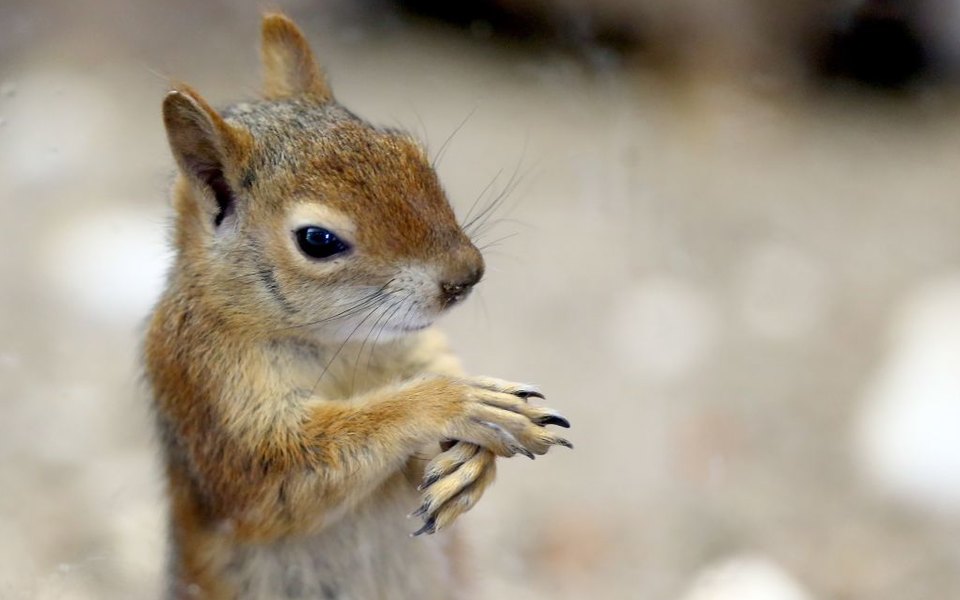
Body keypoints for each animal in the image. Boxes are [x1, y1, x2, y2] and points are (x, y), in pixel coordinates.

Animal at [146, 11, 572, 596]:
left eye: (408, 150)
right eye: (317, 240)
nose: (466, 276)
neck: (345, 343)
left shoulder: (424, 349)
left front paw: (470, 465)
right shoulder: (210, 396)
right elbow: (281, 476)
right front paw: (458, 404)